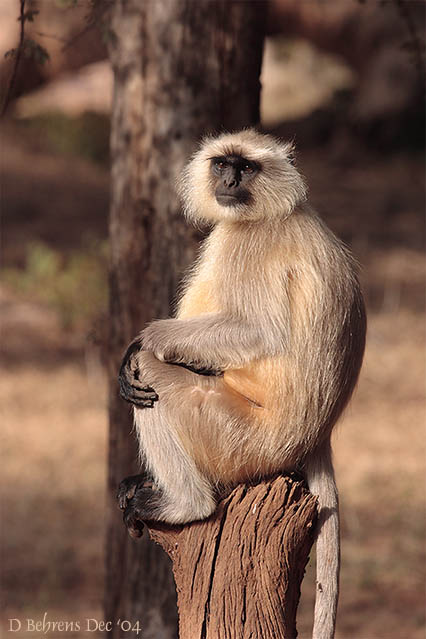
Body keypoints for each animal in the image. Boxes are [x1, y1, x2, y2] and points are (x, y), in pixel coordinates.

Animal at [116, 130, 366, 639]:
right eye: (222, 164)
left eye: (246, 168)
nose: (229, 181)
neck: (280, 210)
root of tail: (319, 434)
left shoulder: (248, 240)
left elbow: (258, 333)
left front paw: (141, 342)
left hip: (240, 440)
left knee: (154, 374)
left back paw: (187, 505)